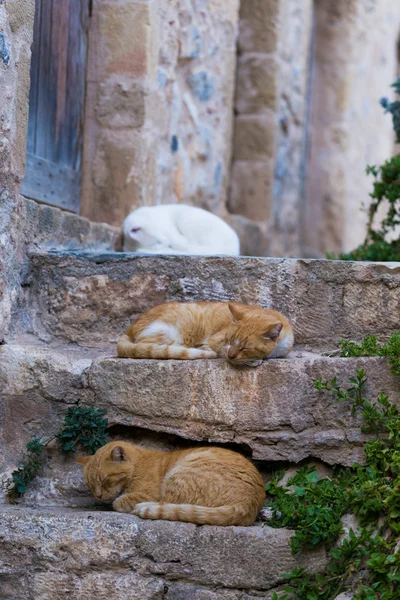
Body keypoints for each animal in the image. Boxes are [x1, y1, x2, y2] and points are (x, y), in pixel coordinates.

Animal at [77, 440, 266, 524]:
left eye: (105, 479)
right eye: (90, 485)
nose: (99, 496)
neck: (138, 465)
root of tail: (247, 503)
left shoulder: (148, 493)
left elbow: (120, 501)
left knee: (167, 505)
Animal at [117, 300, 292, 366]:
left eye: (245, 348)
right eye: (230, 340)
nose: (231, 356)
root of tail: (129, 328)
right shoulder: (217, 341)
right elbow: (218, 349)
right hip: (171, 328)